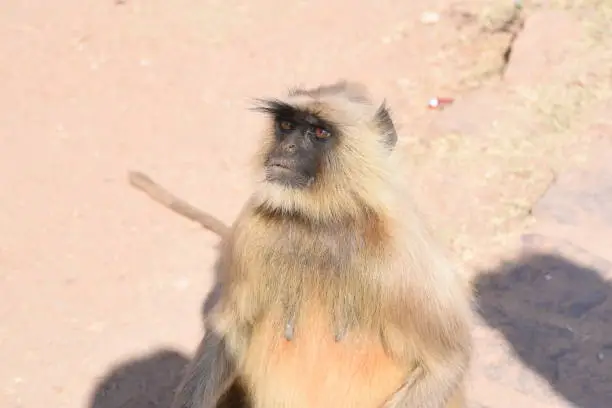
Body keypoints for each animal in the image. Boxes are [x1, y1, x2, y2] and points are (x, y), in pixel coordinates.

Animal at [148, 80, 474, 408]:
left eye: (319, 132)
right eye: (286, 125)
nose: (287, 147)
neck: (321, 222)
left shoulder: (404, 253)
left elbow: (445, 364)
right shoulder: (250, 231)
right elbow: (228, 329)